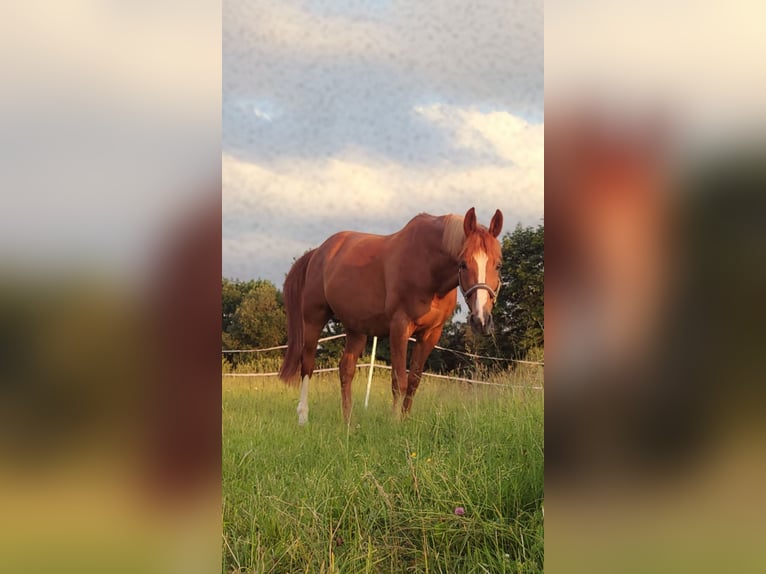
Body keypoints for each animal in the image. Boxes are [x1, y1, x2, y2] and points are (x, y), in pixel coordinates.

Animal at [278, 207, 504, 424]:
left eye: (498, 264)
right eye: (463, 263)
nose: (481, 320)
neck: (427, 266)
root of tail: (319, 252)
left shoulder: (431, 334)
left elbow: (413, 381)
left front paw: (405, 421)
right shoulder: (400, 327)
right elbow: (399, 381)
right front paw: (394, 423)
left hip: (356, 329)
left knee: (346, 370)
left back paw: (348, 422)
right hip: (314, 319)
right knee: (307, 366)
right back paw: (303, 417)